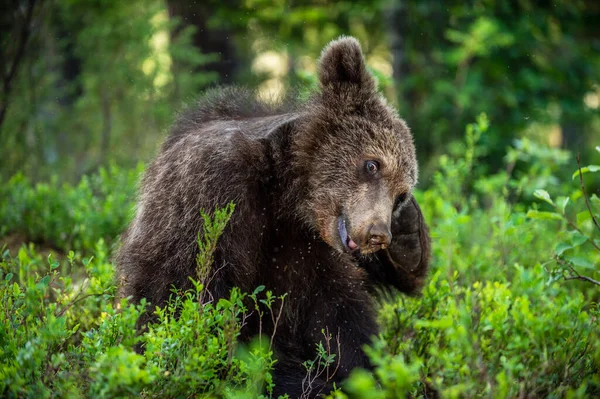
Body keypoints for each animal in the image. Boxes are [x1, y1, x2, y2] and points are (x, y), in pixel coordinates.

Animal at [117, 36, 428, 398]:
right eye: (372, 164)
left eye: (401, 195)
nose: (379, 234)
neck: (289, 197)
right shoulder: (212, 191)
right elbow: (186, 301)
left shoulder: (308, 252)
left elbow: (342, 318)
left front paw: (408, 235)